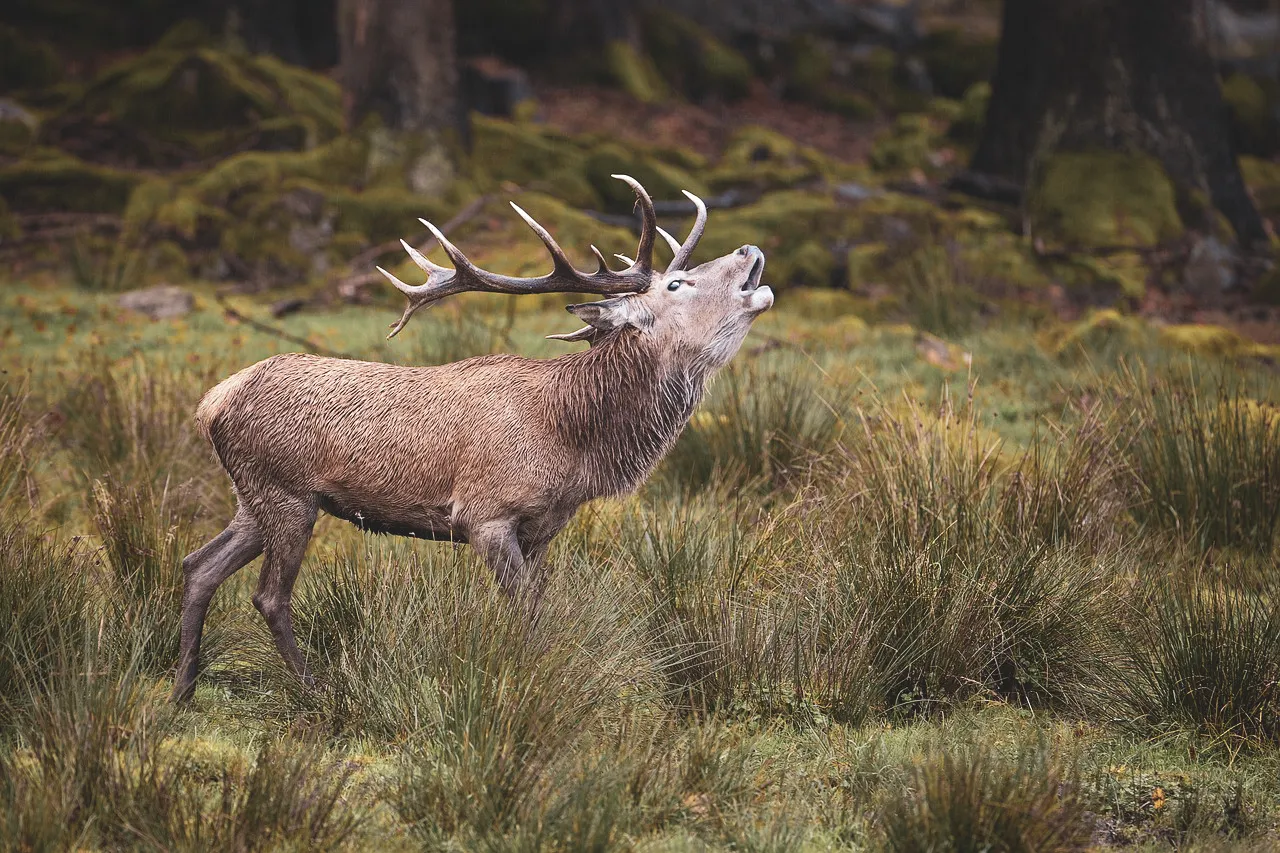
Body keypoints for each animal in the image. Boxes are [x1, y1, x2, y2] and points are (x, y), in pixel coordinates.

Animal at [172, 175, 773, 702]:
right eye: (677, 283)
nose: (749, 250)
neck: (573, 442)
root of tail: (214, 401)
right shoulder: (485, 514)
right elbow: (528, 613)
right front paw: (536, 683)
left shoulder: (542, 529)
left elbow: (536, 607)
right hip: (286, 493)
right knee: (269, 596)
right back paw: (315, 690)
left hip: (253, 496)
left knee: (198, 565)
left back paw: (183, 688)